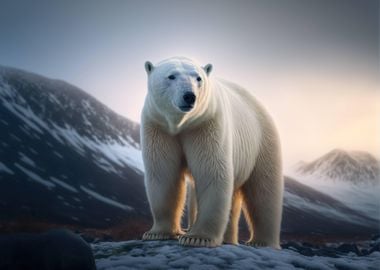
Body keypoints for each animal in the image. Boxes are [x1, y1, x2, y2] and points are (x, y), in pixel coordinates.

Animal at [140, 57, 282, 249]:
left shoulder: (206, 124)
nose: (189, 96)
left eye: (198, 78)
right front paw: (156, 233)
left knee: (264, 190)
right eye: (171, 76)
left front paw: (197, 238)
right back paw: (228, 239)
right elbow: (163, 174)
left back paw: (262, 242)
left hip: (262, 140)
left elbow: (211, 172)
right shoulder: (158, 127)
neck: (181, 124)